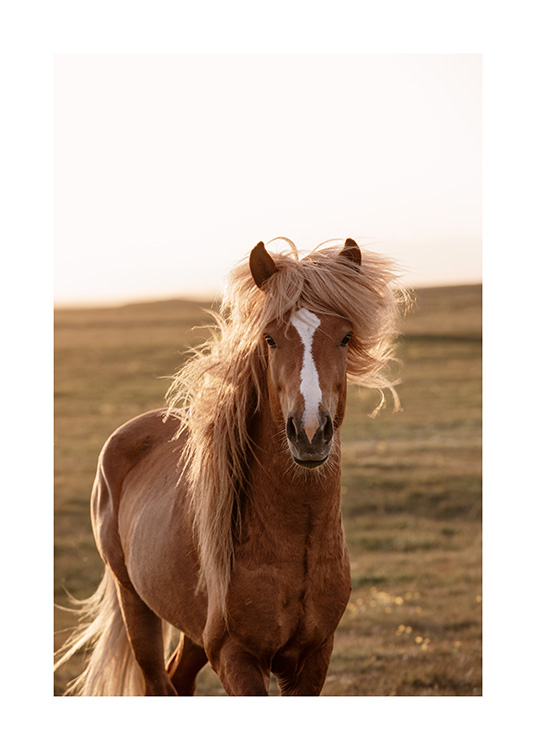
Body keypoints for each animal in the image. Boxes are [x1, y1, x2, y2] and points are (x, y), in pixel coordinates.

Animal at [55, 237, 403, 696]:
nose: (310, 431)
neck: (293, 541)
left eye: (345, 337)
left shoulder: (313, 657)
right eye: (270, 338)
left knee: (178, 677)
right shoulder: (235, 655)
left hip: (192, 630)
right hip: (136, 603)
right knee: (157, 680)